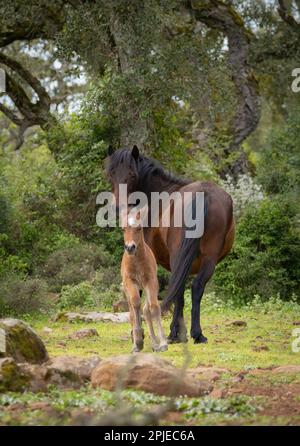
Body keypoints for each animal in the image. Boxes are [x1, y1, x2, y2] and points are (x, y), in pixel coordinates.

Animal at [121, 211, 169, 354]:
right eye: (123, 229)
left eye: (139, 228)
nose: (130, 247)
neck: (137, 262)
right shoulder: (130, 282)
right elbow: (136, 303)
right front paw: (138, 342)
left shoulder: (151, 282)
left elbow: (153, 307)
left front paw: (163, 343)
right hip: (127, 290)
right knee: (132, 311)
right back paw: (136, 343)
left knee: (146, 310)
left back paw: (154, 344)